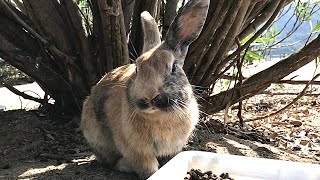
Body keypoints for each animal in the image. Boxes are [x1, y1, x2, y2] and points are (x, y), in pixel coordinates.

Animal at [81, 0, 209, 179]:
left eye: (174, 67)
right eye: (137, 68)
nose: (150, 96)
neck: (159, 115)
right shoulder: (138, 152)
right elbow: (148, 167)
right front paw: (154, 173)